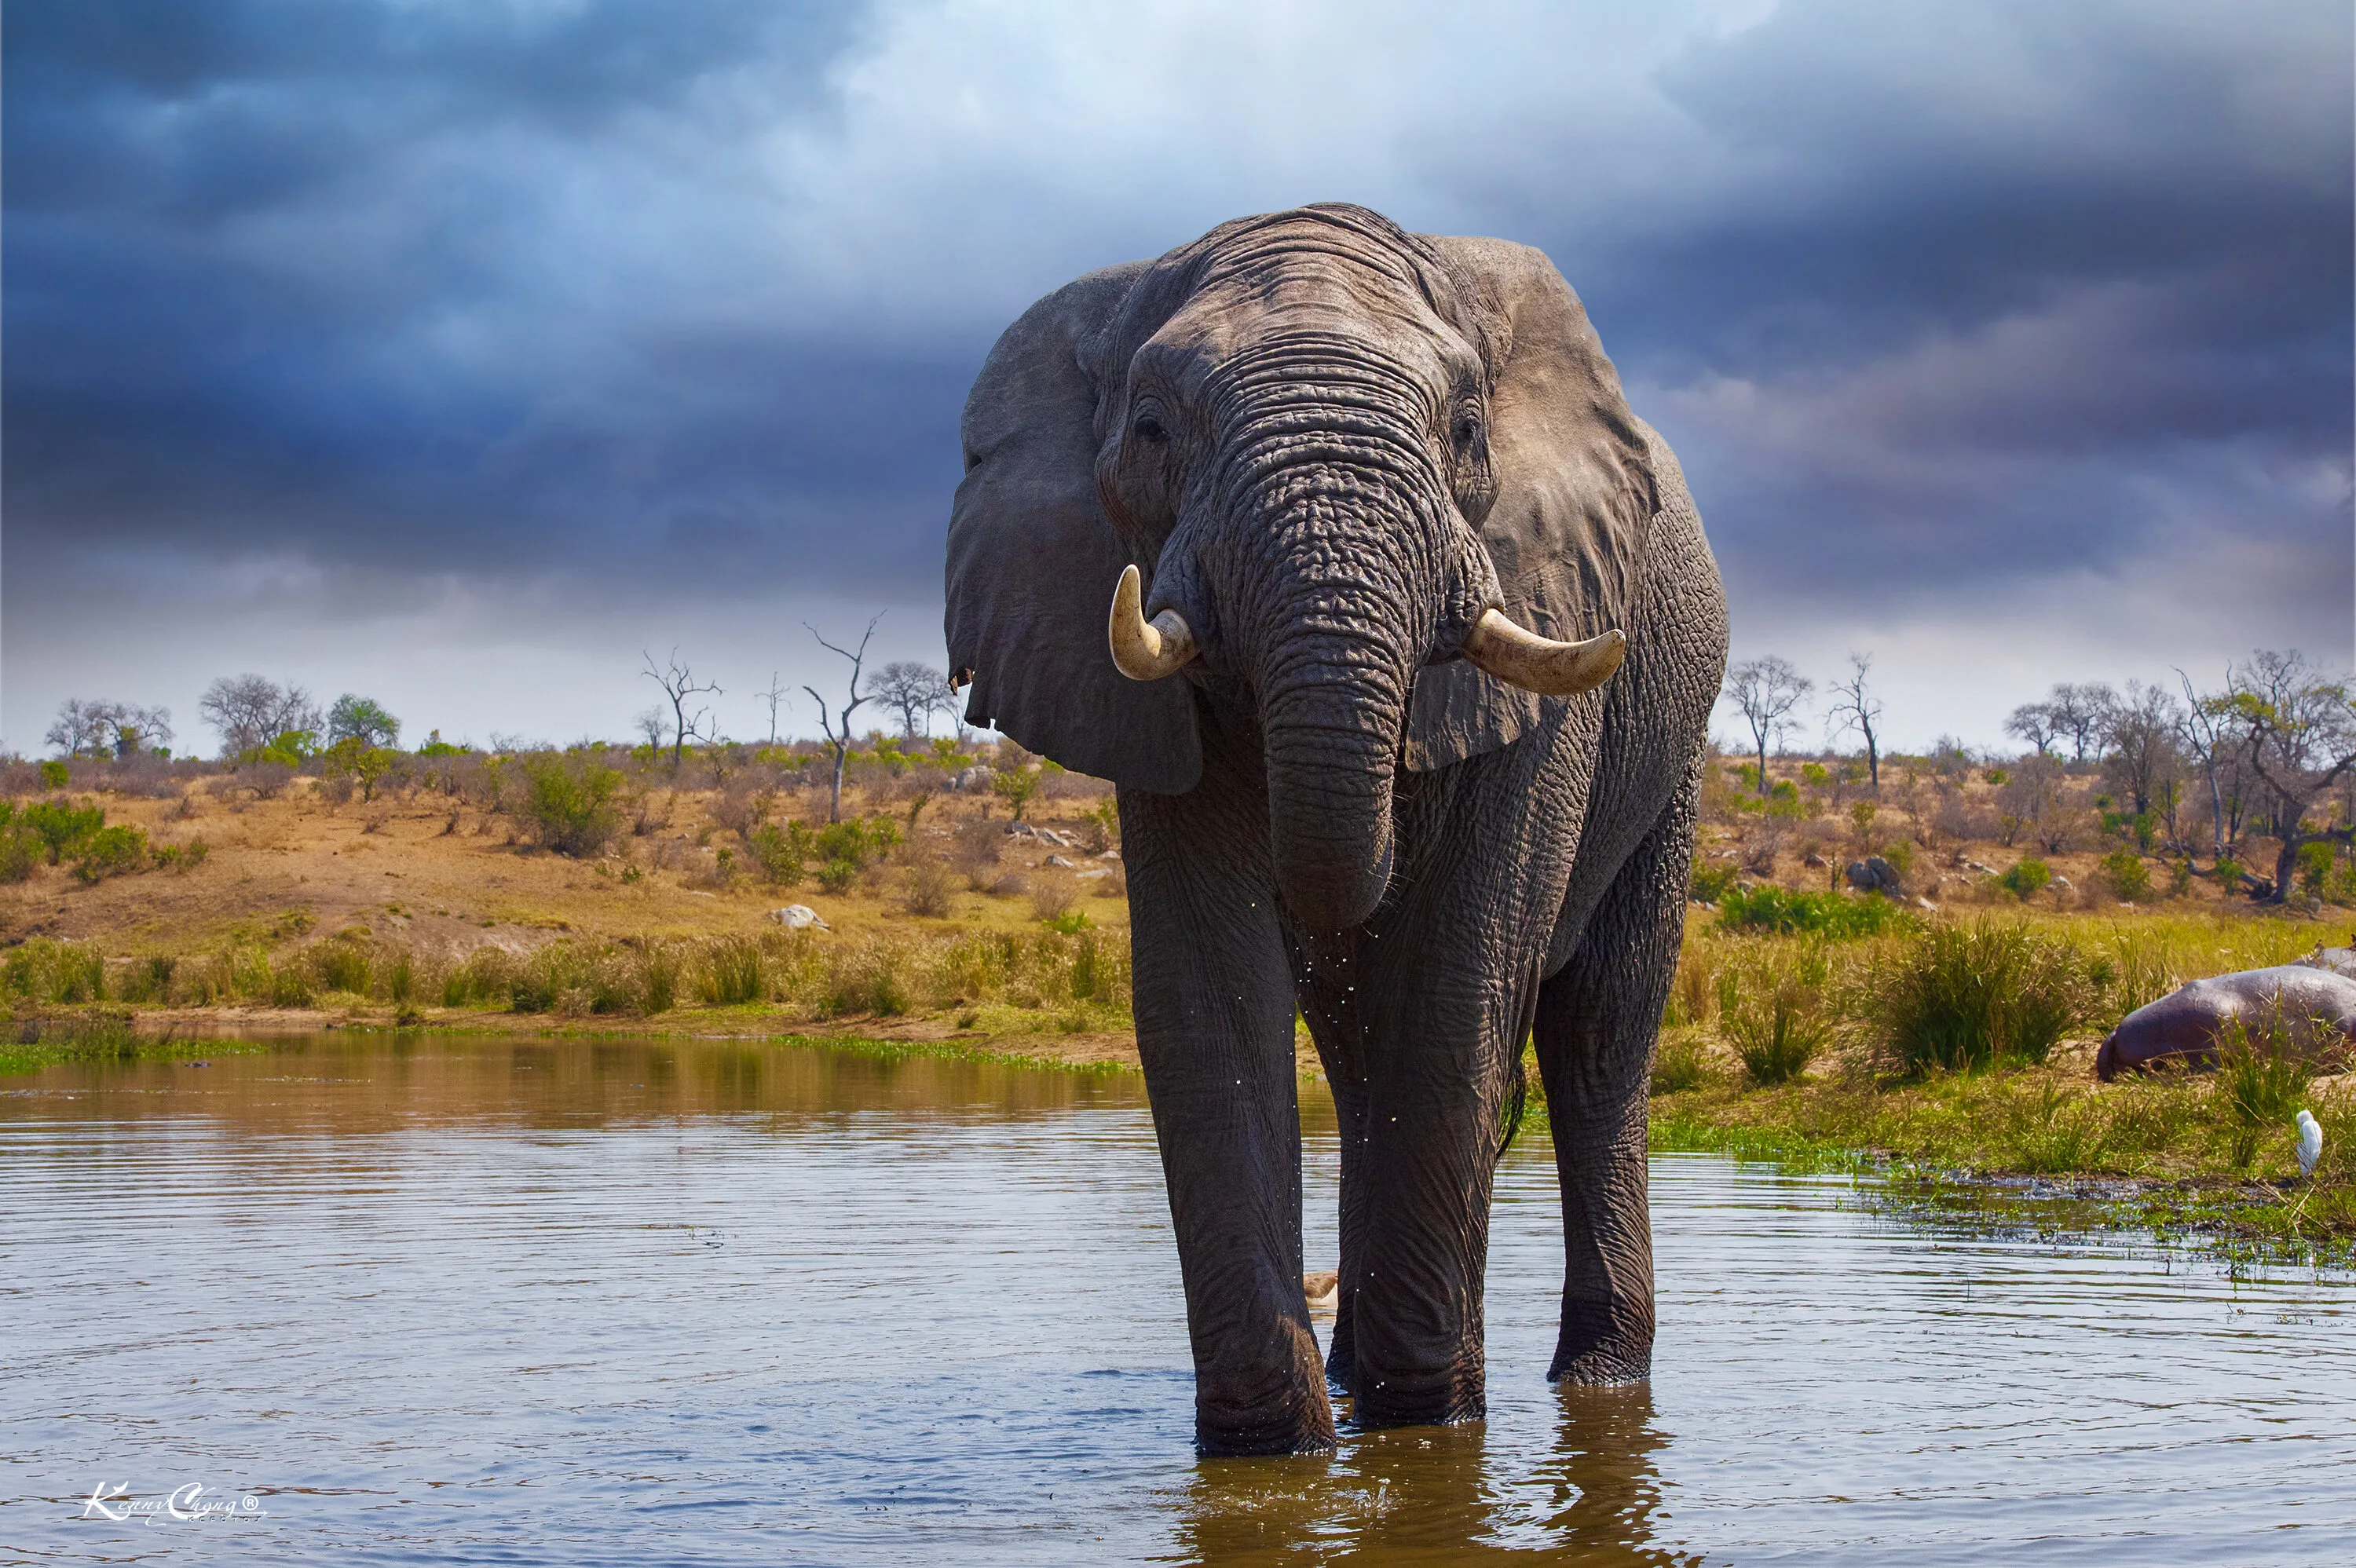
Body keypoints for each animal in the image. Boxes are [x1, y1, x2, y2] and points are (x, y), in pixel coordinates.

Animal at [944, 204, 1728, 1454]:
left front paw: (1429, 1433)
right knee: (1362, 1061)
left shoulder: (1551, 610)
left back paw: (1594, 1382)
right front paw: (1275, 1451)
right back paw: (1363, 1370)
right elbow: (1209, 994)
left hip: (1674, 750)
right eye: (1153, 429)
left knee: (1600, 1032)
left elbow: (1461, 980)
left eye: (1467, 428)